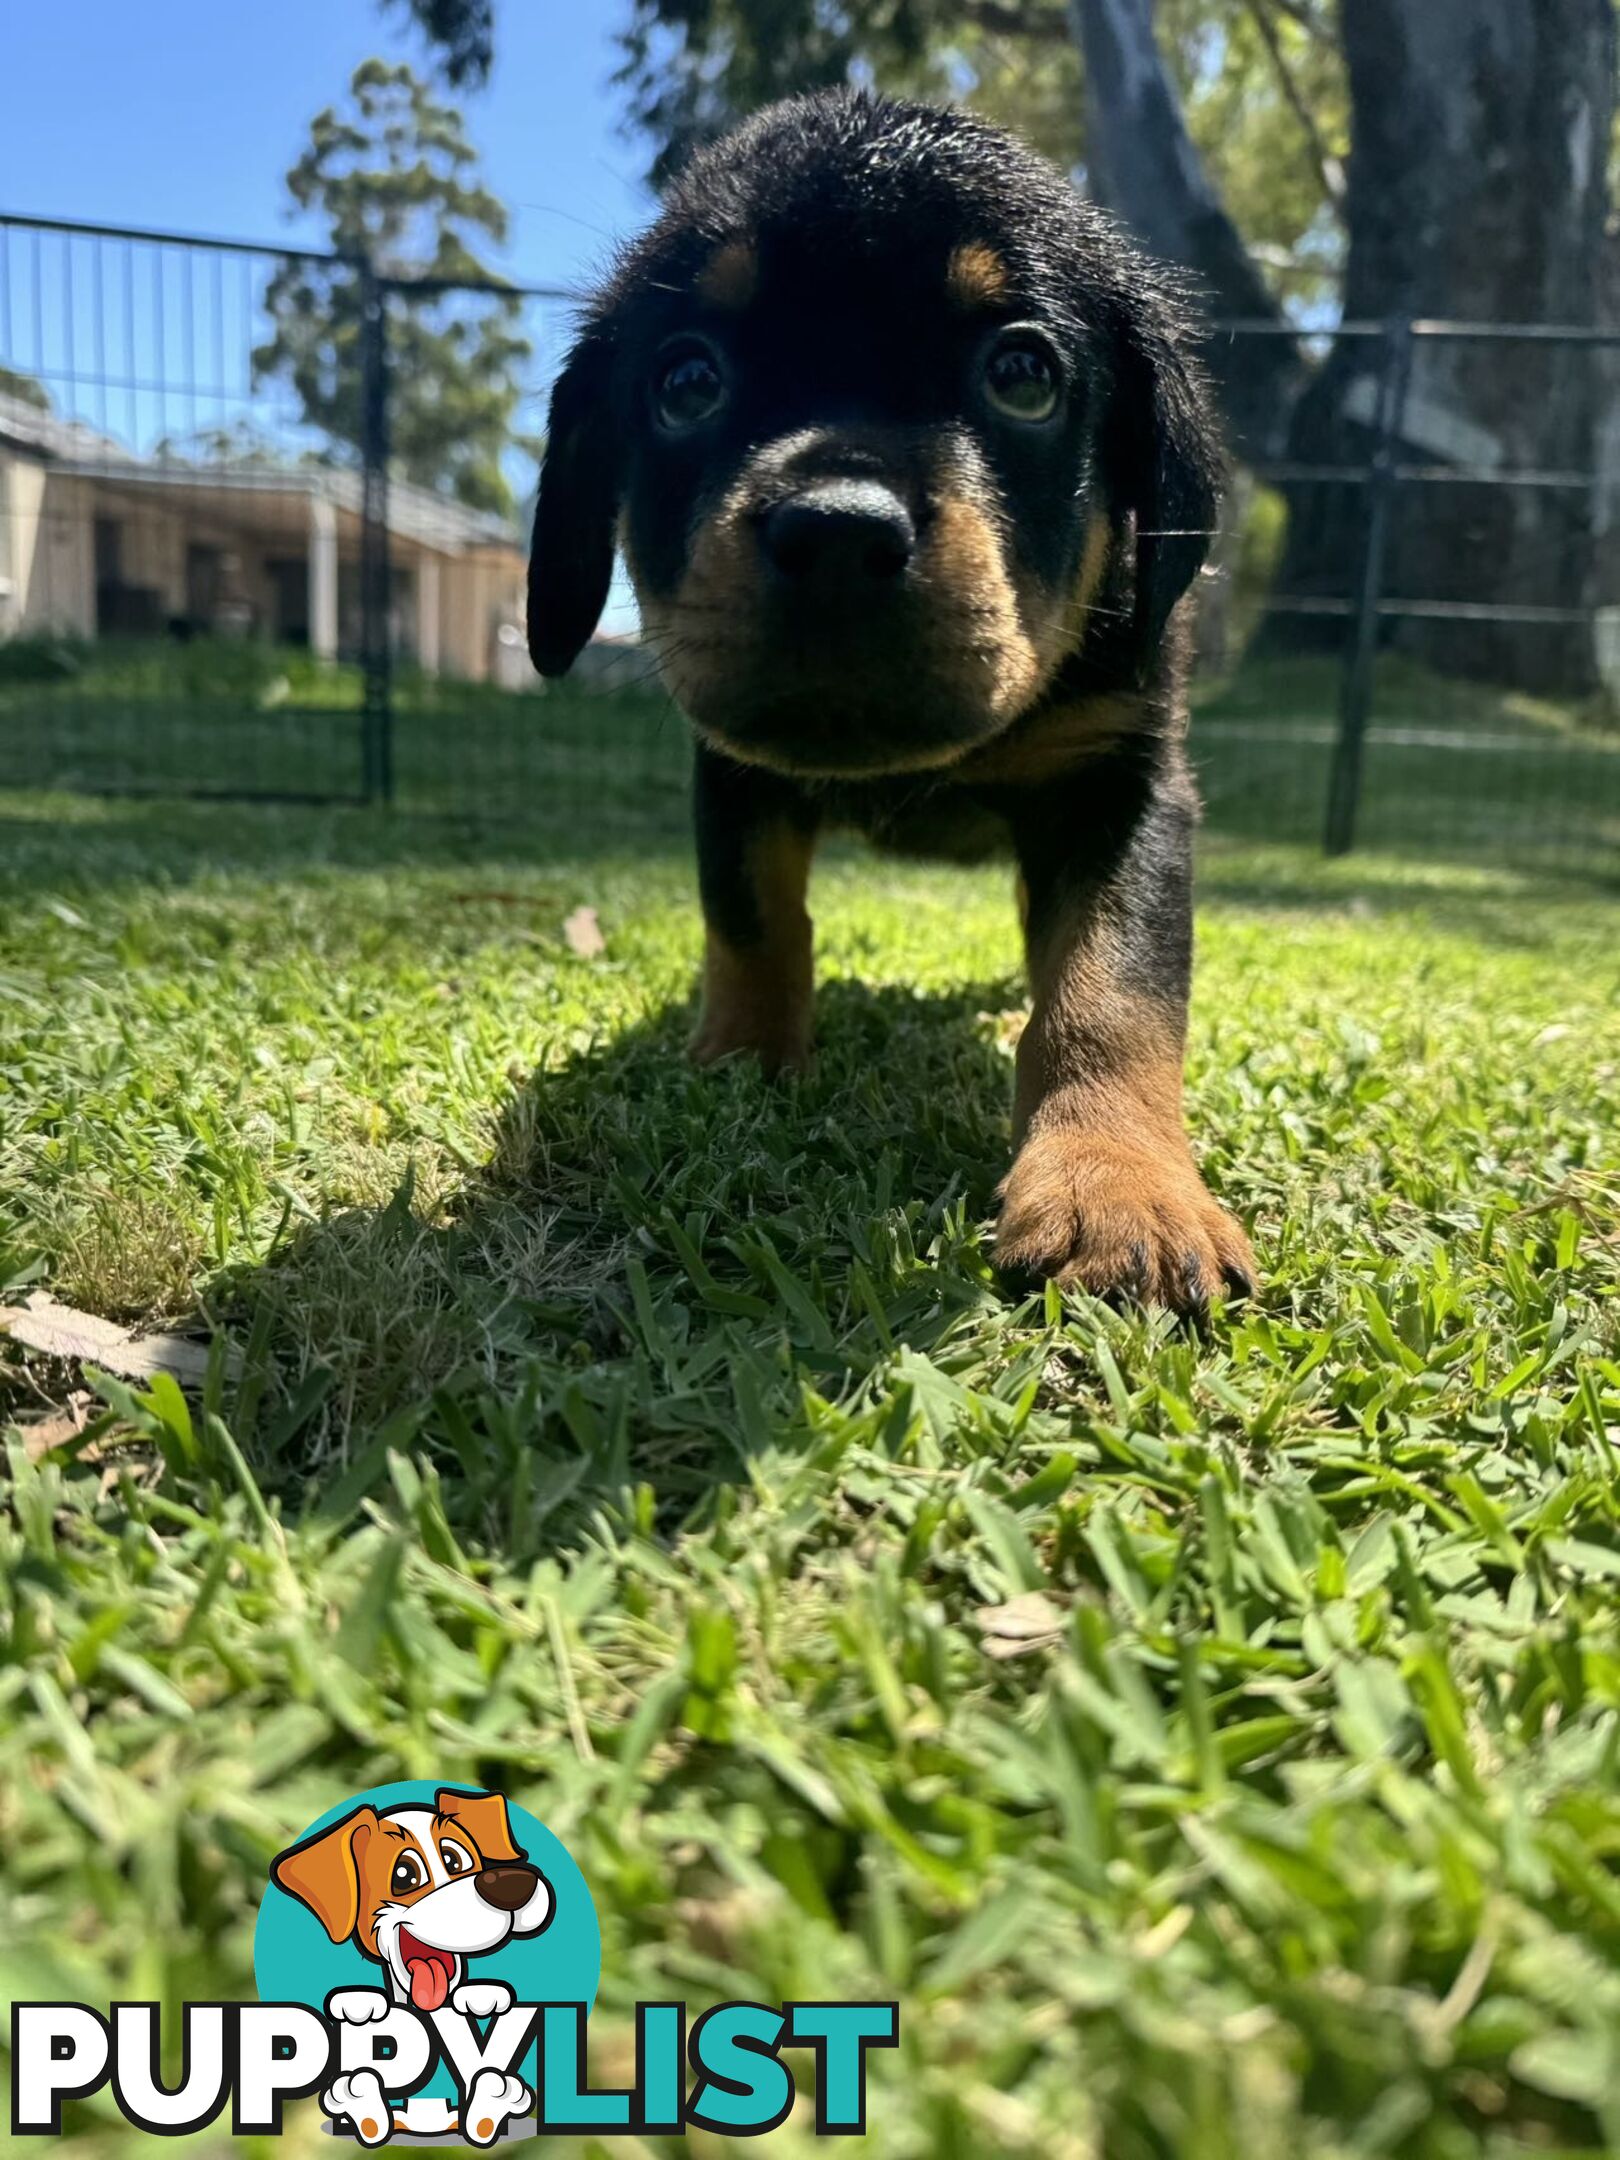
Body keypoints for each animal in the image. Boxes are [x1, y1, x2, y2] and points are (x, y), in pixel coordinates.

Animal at [527, 88, 1261, 1313]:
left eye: (1023, 374)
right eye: (687, 383)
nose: (836, 534)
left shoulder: (1128, 784)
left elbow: (1113, 985)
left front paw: (1118, 1183)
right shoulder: (734, 774)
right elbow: (754, 923)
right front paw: (741, 1067)